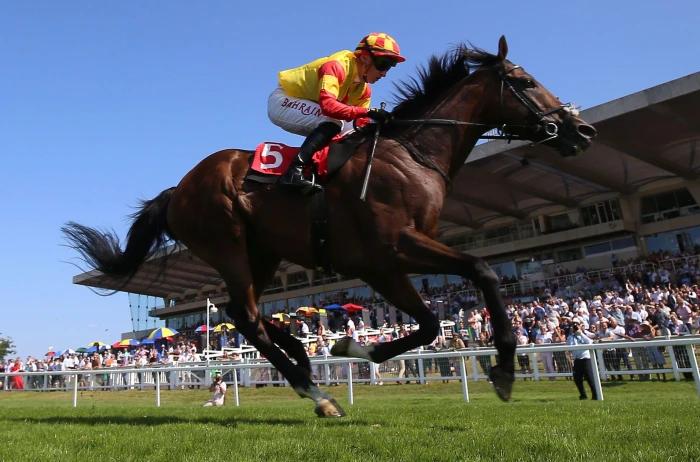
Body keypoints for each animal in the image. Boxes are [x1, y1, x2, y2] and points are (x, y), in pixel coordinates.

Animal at [63, 37, 596, 418]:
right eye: (525, 80)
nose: (582, 130)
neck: (411, 155)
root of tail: (178, 189)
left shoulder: (395, 258)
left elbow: (434, 317)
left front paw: (351, 344)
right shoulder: (390, 251)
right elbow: (476, 276)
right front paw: (502, 368)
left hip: (263, 251)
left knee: (244, 314)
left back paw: (304, 362)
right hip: (227, 242)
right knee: (249, 315)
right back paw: (314, 390)